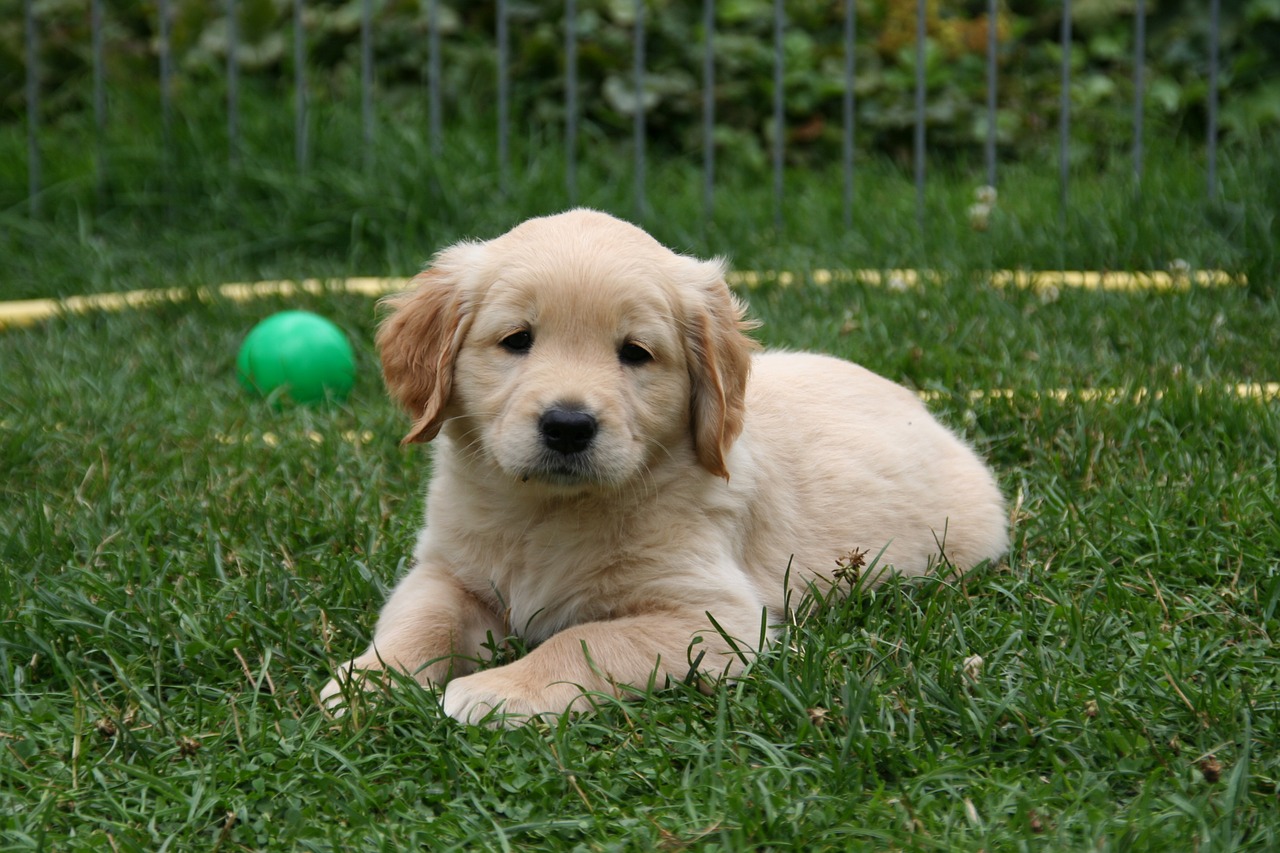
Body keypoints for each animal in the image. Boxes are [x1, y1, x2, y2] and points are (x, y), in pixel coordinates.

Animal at [322, 208, 1008, 722]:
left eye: (636, 353)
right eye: (517, 340)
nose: (568, 425)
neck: (550, 511)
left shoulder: (710, 618)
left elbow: (586, 640)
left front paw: (499, 689)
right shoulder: (448, 568)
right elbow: (422, 620)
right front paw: (369, 680)